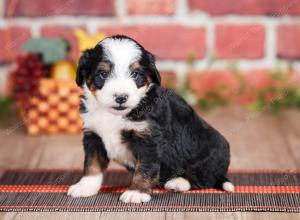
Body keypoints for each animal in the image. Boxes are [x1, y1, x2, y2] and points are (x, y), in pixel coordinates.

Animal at [68, 35, 234, 204]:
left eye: (135, 74)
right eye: (103, 74)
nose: (121, 97)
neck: (114, 115)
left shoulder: (148, 139)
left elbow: (145, 168)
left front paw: (137, 192)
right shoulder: (94, 135)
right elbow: (92, 164)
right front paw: (85, 186)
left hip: (212, 154)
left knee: (204, 178)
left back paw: (178, 182)